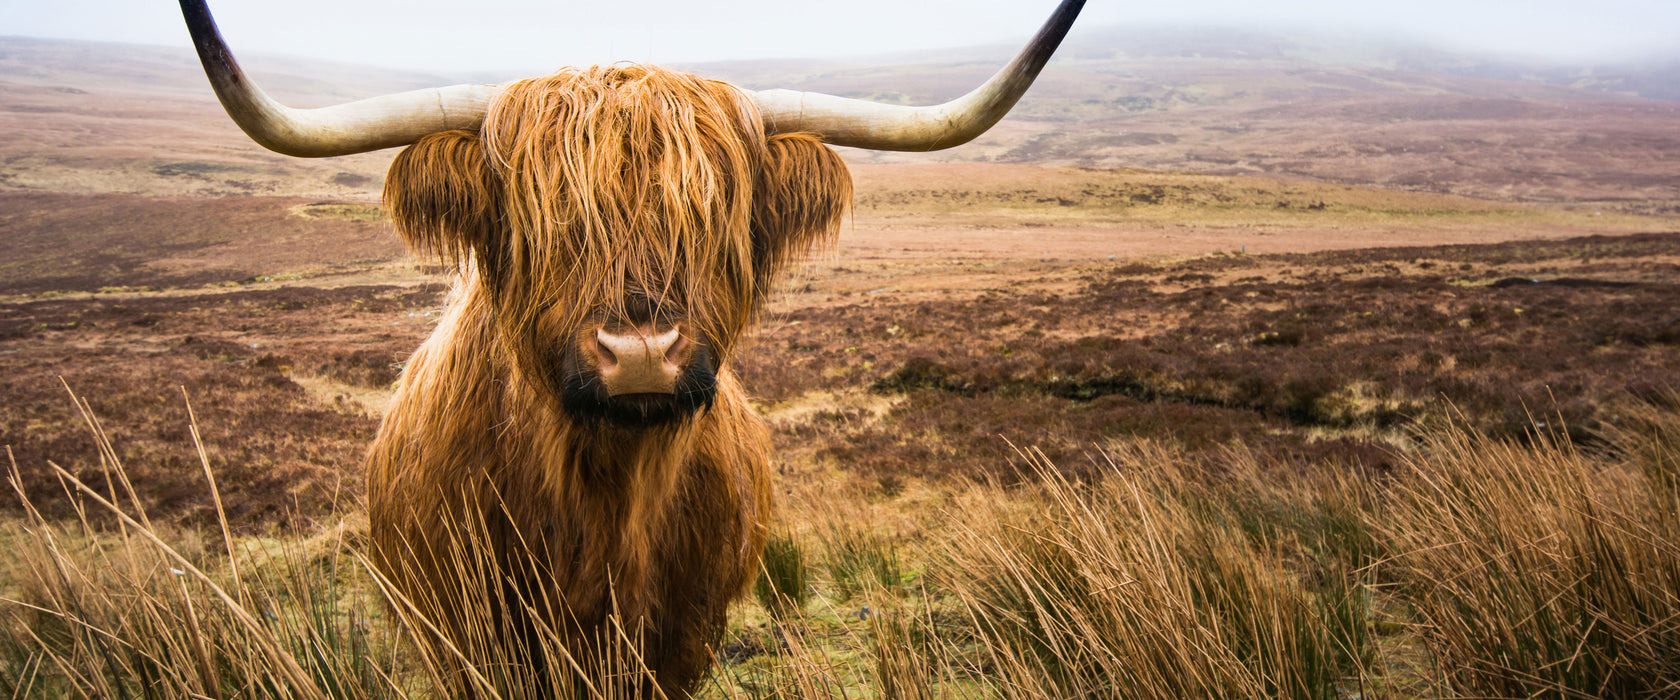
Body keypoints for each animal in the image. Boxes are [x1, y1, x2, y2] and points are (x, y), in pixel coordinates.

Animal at [177, 0, 1081, 691]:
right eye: (543, 220)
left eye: (712, 214)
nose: (642, 351)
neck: (602, 504)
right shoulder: (469, 640)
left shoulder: (683, 638)